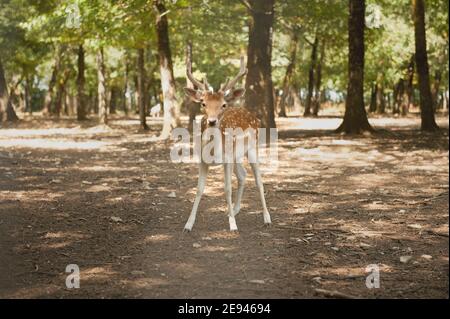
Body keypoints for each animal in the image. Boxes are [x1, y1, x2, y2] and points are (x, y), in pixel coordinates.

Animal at [182, 53, 270, 231]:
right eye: (203, 103)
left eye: (223, 105)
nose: (212, 121)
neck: (213, 151)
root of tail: (254, 117)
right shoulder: (202, 160)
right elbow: (199, 189)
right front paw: (188, 224)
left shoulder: (227, 159)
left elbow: (227, 188)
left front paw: (233, 226)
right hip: (236, 155)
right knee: (243, 175)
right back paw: (235, 210)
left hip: (252, 148)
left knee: (259, 181)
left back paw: (266, 218)